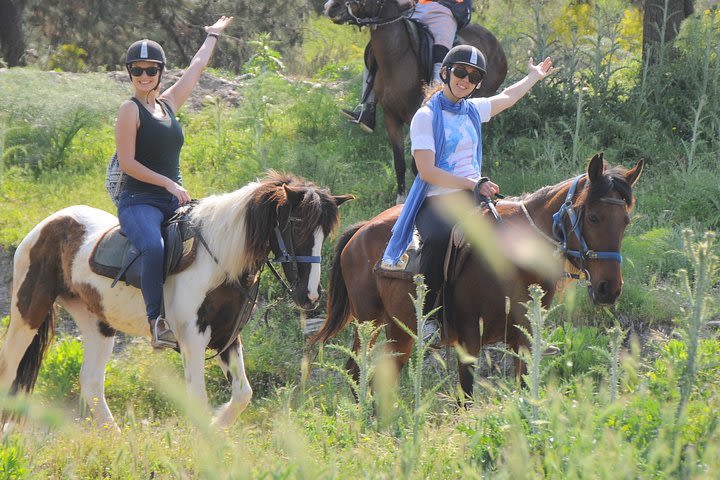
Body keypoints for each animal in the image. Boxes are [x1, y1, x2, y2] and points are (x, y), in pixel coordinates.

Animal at [0, 173, 352, 432]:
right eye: (296, 226)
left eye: (324, 233)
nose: (310, 297)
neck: (219, 260)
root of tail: (48, 224)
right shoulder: (193, 338)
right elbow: (197, 396)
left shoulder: (226, 337)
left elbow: (243, 394)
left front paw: (216, 430)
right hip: (27, 313)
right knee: (9, 370)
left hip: (97, 324)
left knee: (90, 383)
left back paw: (115, 439)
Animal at [312, 155, 644, 398]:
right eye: (593, 217)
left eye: (626, 221)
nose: (609, 288)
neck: (513, 257)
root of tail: (360, 231)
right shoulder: (469, 340)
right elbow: (466, 398)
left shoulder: (524, 341)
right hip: (372, 324)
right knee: (361, 371)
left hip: (393, 328)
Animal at [326, 0, 506, 201]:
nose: (330, 7)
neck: (396, 58)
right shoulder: (391, 117)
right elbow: (399, 162)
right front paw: (401, 199)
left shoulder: (416, 117)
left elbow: (418, 165)